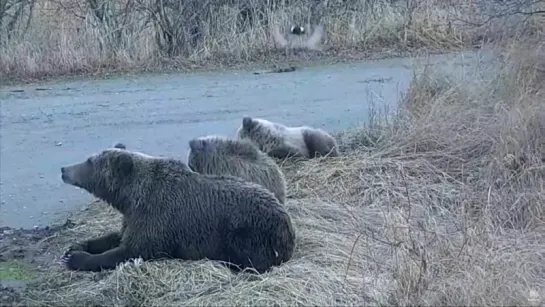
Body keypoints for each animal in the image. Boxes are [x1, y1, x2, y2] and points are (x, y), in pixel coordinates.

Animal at [59, 146, 296, 274]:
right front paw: (75, 247)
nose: (64, 169)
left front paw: (77, 258)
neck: (130, 198)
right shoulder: (133, 218)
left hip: (249, 231)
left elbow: (128, 251)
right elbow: (115, 237)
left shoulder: (157, 220)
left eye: (89, 162)